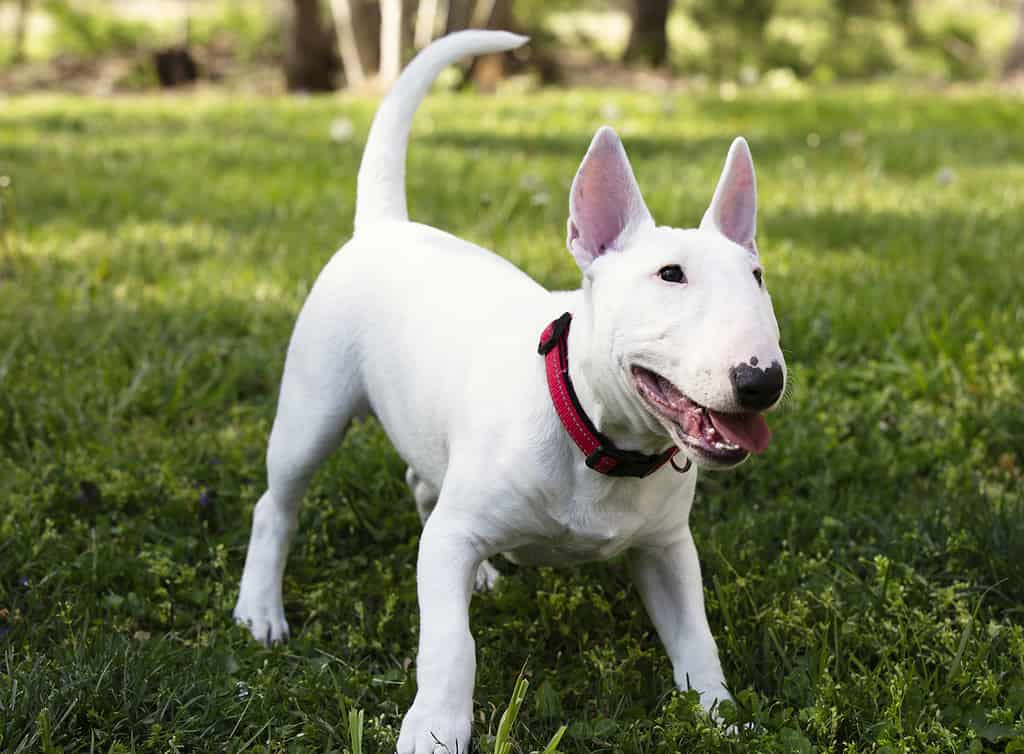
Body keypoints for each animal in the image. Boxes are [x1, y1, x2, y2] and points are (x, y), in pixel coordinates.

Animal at [235, 30, 786, 754]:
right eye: (670, 275)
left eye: (757, 277)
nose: (763, 381)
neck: (597, 436)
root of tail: (385, 225)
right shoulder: (448, 543)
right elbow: (451, 644)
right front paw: (434, 732)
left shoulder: (667, 548)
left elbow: (696, 636)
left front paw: (721, 716)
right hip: (313, 408)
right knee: (278, 503)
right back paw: (259, 609)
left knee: (422, 483)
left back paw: (483, 572)